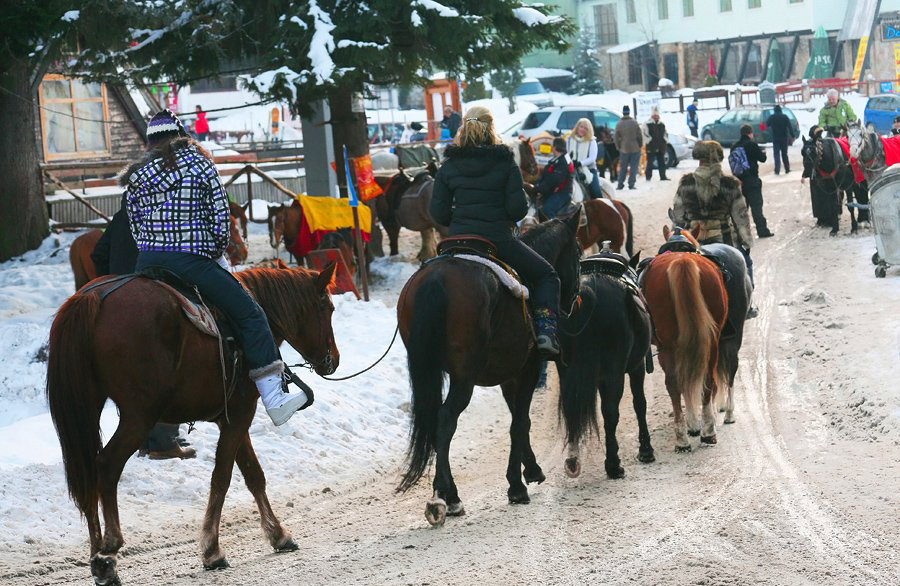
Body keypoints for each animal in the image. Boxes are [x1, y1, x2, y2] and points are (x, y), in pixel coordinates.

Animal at [44, 264, 338, 584]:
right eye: (328, 307)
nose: (333, 360)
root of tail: (93, 297)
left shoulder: (231, 417)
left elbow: (253, 474)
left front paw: (278, 535)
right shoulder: (241, 413)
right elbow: (222, 477)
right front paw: (212, 550)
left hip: (88, 407)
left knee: (86, 474)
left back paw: (97, 556)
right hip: (139, 416)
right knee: (107, 465)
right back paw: (108, 551)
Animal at [396, 214, 580, 524]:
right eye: (578, 253)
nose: (572, 301)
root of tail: (437, 279)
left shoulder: (508, 375)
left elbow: (518, 419)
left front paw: (529, 469)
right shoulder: (527, 368)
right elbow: (520, 422)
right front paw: (517, 485)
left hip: (428, 368)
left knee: (435, 420)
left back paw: (444, 493)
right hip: (464, 376)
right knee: (446, 419)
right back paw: (447, 497)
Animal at [556, 251, 652, 480]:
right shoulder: (636, 367)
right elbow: (639, 403)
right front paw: (646, 449)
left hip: (566, 369)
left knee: (571, 411)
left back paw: (573, 460)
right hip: (614, 371)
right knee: (610, 413)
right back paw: (613, 465)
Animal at [644, 228, 728, 448]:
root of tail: (682, 261)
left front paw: (692, 424)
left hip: (668, 346)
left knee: (675, 383)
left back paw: (683, 438)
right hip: (711, 340)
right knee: (706, 378)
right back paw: (708, 432)